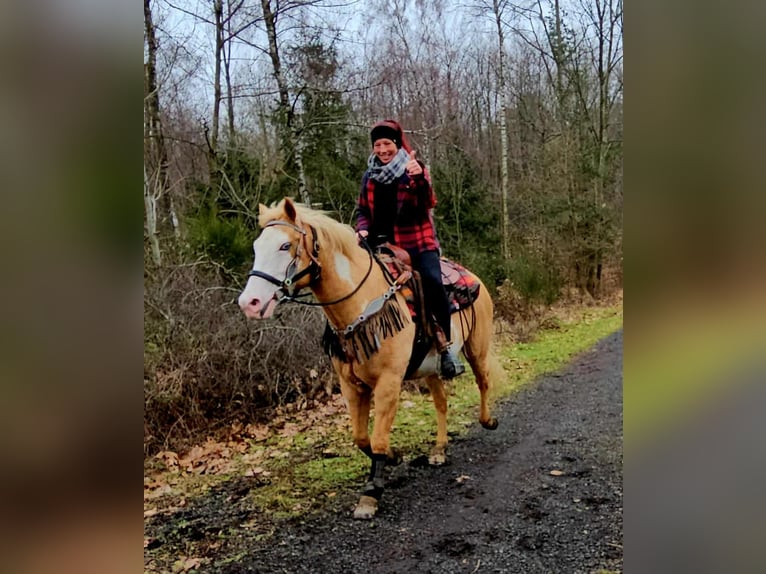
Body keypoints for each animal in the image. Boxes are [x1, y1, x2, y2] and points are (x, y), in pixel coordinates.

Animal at [238, 198, 498, 519]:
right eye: (257, 246)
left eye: (285, 246)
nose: (249, 303)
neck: (361, 306)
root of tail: (473, 278)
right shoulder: (351, 385)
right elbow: (362, 438)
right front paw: (394, 457)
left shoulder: (388, 383)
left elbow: (377, 437)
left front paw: (371, 493)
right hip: (430, 369)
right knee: (441, 402)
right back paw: (439, 449)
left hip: (477, 347)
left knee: (483, 381)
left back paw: (488, 420)